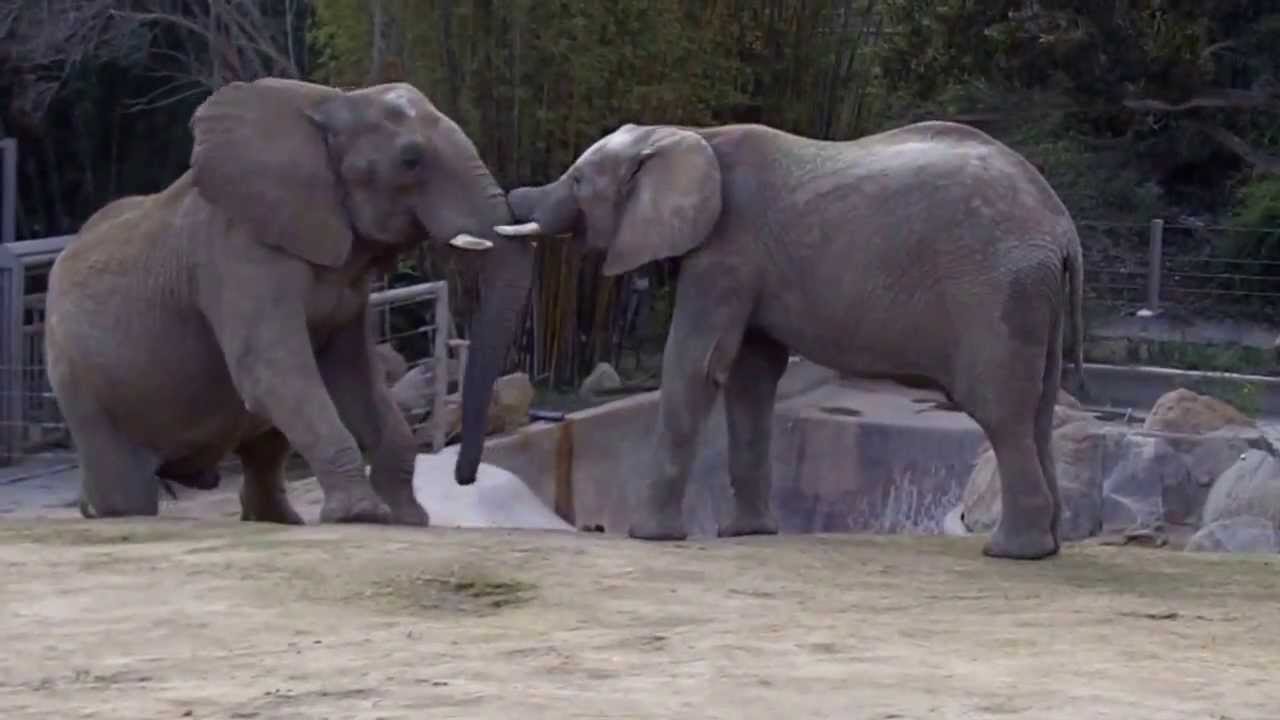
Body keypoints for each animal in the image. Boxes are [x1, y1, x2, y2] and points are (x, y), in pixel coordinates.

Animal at [45, 77, 534, 524]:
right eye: (410, 161)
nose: (464, 479)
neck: (329, 102)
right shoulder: (237, 253)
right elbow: (275, 369)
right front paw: (360, 517)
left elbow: (354, 377)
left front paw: (406, 519)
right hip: (80, 383)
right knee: (129, 494)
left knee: (264, 450)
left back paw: (278, 521)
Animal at [495, 120, 1086, 560]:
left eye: (577, 180)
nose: (513, 199)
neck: (689, 134)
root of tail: (1062, 227)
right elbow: (750, 377)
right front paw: (746, 534)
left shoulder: (725, 252)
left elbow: (696, 365)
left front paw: (649, 537)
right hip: (1032, 297)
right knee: (1036, 411)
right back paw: (1047, 545)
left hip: (995, 293)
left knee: (1000, 411)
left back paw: (1011, 552)